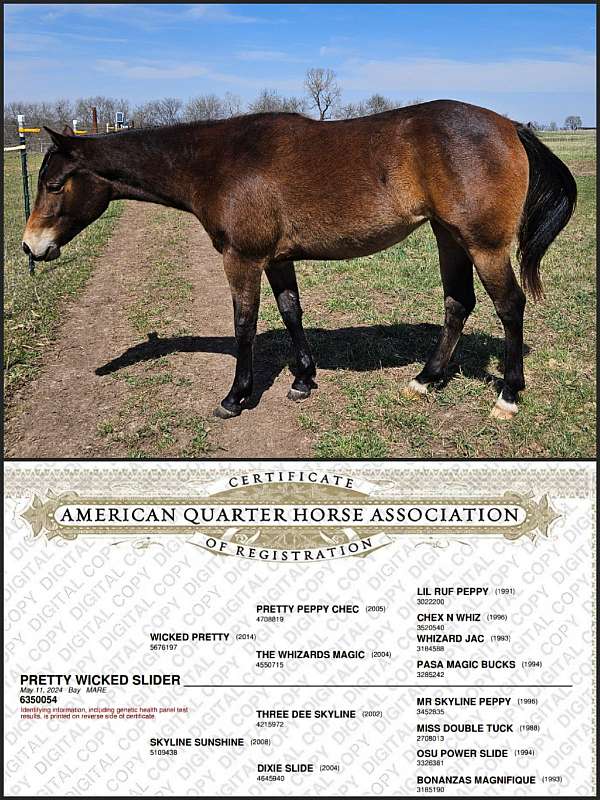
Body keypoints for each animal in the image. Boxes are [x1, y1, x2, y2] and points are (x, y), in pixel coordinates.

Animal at [23, 99, 576, 421]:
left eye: (54, 184)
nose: (31, 247)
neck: (218, 162)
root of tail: (510, 126)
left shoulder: (241, 259)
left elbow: (244, 323)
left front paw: (236, 396)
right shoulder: (275, 258)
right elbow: (291, 310)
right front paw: (303, 379)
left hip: (483, 245)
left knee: (509, 306)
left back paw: (508, 395)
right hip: (449, 236)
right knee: (458, 303)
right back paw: (426, 380)